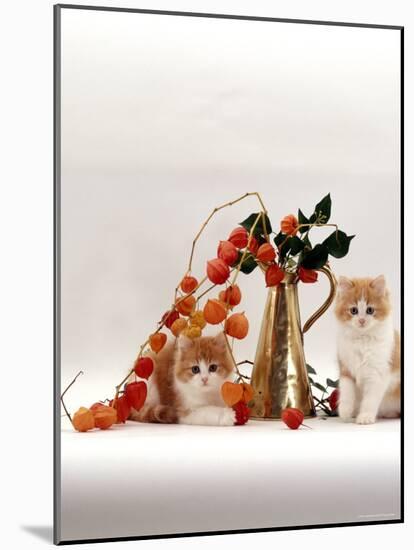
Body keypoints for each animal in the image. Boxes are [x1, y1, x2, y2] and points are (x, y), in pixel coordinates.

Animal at [334, 276, 400, 426]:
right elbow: (346, 392)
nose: (362, 320)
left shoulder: (377, 375)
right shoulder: (346, 369)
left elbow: (370, 400)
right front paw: (345, 412)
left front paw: (365, 417)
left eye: (370, 310)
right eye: (353, 310)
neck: (362, 339)